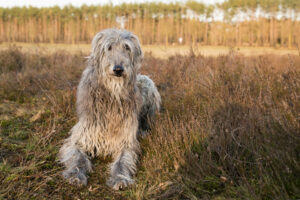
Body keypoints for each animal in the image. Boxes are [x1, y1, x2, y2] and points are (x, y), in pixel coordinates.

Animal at [59, 27, 162, 189]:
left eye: (127, 47)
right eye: (109, 47)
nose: (118, 69)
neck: (112, 94)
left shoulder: (126, 141)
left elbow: (123, 160)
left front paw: (119, 177)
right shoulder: (82, 136)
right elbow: (77, 156)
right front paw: (76, 175)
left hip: (147, 83)